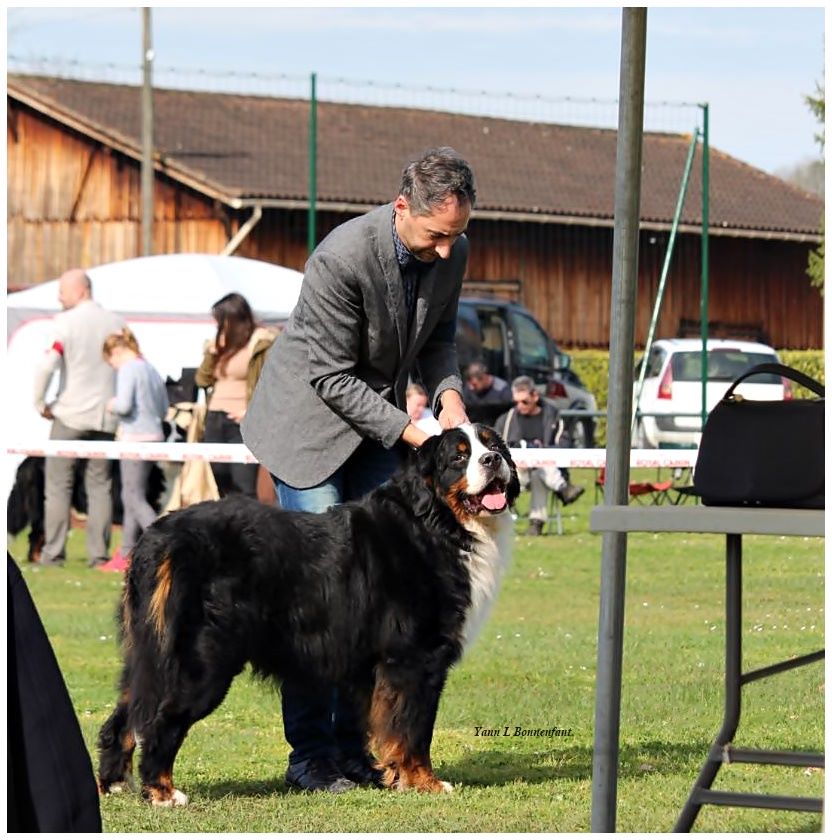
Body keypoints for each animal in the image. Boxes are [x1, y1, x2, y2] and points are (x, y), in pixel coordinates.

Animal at [96, 426, 512, 808]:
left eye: (494, 445)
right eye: (459, 457)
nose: (493, 460)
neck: (436, 523)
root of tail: (161, 536)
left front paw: (386, 775)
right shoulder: (415, 659)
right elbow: (414, 730)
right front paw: (425, 782)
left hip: (149, 653)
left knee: (127, 715)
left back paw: (114, 783)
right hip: (202, 662)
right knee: (161, 720)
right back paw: (162, 792)